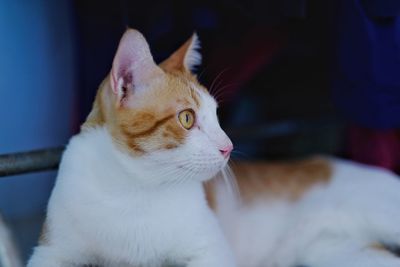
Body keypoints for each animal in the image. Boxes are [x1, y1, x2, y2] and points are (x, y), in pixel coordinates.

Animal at [25, 27, 400, 267]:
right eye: (187, 118)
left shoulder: (209, 251)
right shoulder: (51, 251)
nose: (228, 147)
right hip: (337, 252)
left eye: (217, 115)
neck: (134, 190)